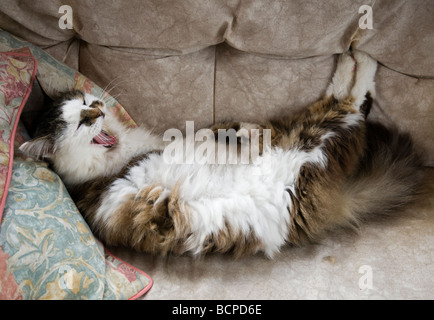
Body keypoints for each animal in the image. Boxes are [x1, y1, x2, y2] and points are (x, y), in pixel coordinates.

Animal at [20, 51, 424, 258]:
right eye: (80, 123)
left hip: (301, 133)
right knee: (350, 97)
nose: (100, 109)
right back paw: (361, 48)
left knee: (350, 96)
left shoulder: (177, 138)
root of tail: (335, 201)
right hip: (315, 138)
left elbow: (213, 131)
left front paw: (239, 131)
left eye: (88, 103)